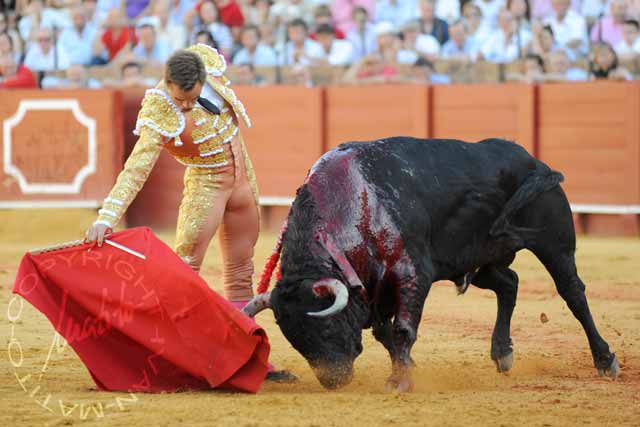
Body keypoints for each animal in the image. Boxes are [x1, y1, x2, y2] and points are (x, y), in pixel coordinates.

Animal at [244, 139, 620, 392]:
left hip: (554, 242)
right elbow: (384, 333)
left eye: (324, 328)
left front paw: (399, 380)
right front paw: (405, 369)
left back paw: (605, 360)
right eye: (295, 339)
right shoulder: (373, 290)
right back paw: (502, 353)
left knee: (572, 292)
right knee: (509, 283)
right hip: (479, 259)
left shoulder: (411, 275)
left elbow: (402, 329)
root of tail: (534, 161)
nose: (334, 381)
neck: (353, 204)